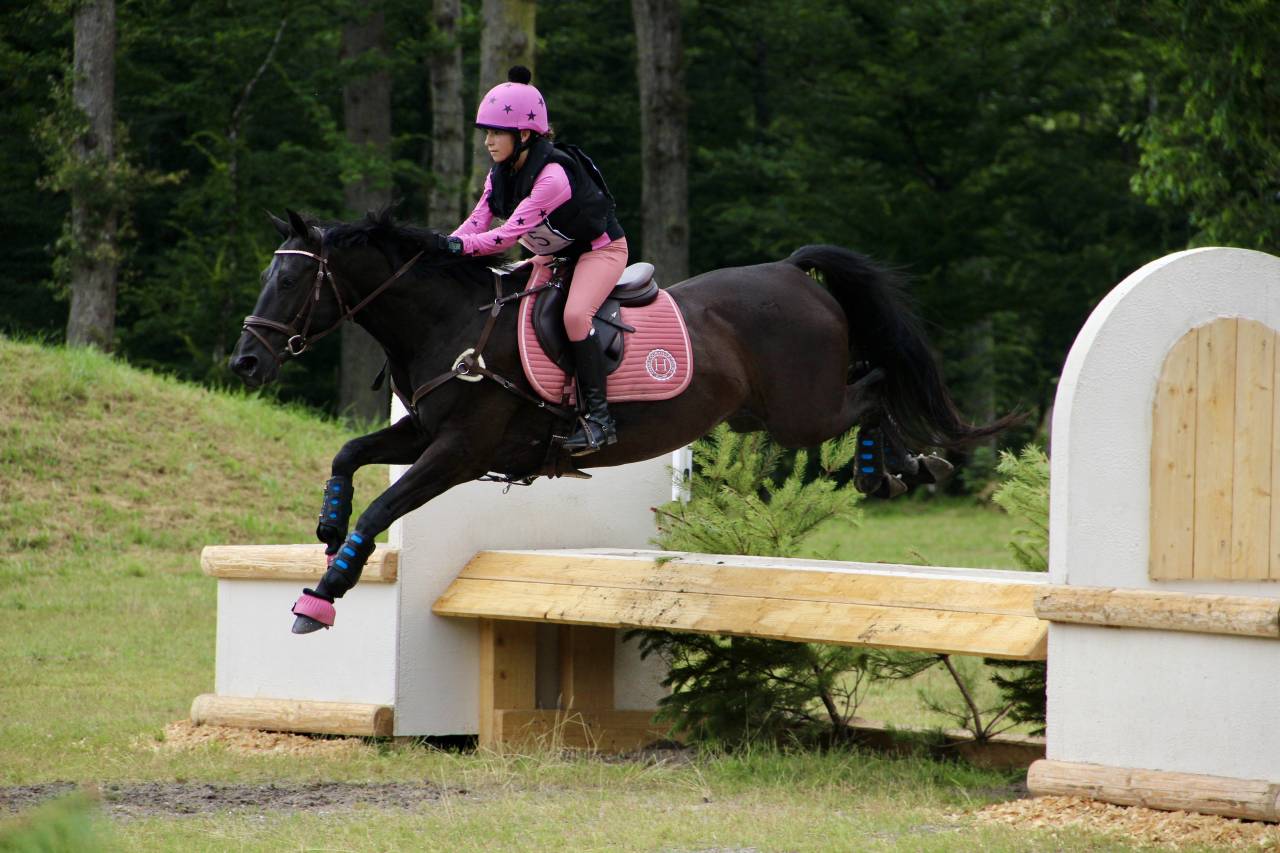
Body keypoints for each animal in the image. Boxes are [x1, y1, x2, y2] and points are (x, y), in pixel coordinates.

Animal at [230, 209, 1014, 633]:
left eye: (292, 279)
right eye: (269, 275)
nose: (245, 361)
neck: (449, 319)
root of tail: (793, 271)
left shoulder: (458, 450)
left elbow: (386, 502)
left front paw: (323, 594)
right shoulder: (423, 433)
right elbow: (349, 453)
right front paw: (329, 523)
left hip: (801, 411)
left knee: (877, 385)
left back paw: (893, 469)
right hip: (773, 411)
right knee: (874, 385)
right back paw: (904, 467)